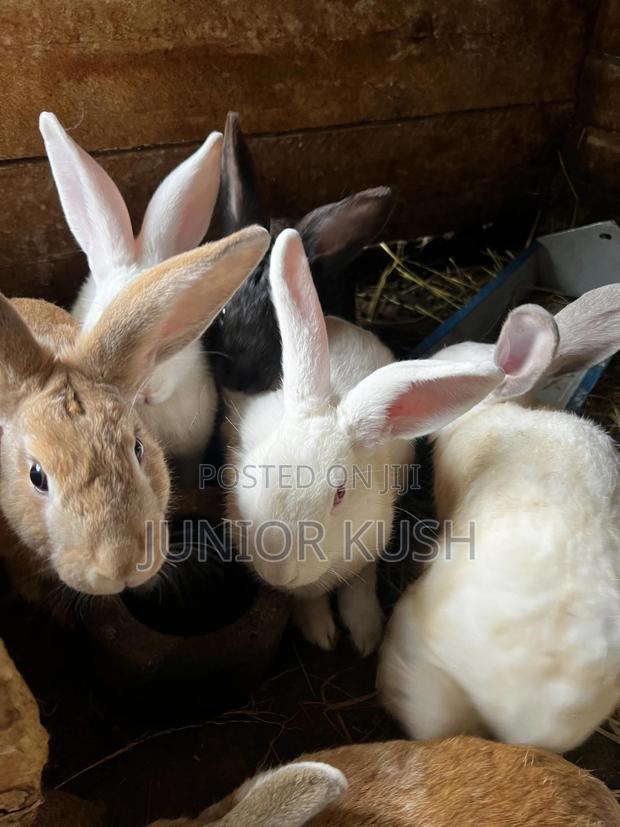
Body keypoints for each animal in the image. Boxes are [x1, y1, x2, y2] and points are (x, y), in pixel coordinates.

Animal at [224, 228, 504, 655]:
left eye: (339, 494)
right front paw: (321, 632)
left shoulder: (367, 552)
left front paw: (366, 635)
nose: (277, 570)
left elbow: (359, 588)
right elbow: (307, 598)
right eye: (254, 471)